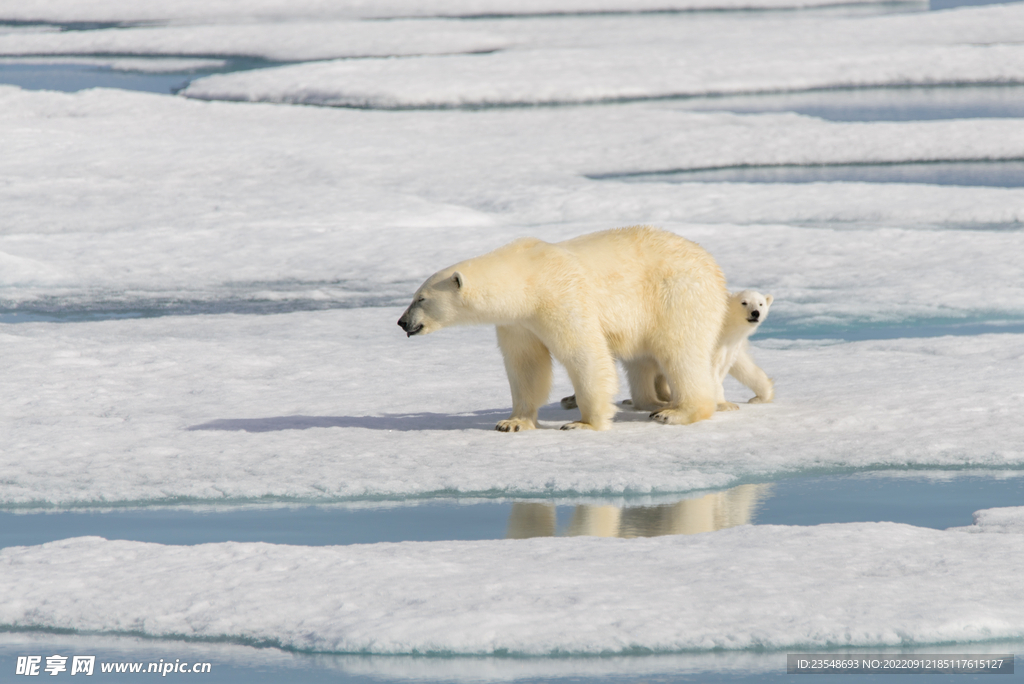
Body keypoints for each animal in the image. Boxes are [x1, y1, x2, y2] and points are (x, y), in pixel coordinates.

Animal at [397, 227, 729, 430]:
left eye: (420, 298)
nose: (402, 322)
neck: (527, 278)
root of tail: (711, 263)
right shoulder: (518, 322)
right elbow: (526, 364)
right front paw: (512, 422)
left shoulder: (561, 296)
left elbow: (583, 352)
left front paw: (584, 423)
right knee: (643, 359)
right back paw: (649, 400)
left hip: (677, 294)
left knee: (680, 351)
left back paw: (675, 411)